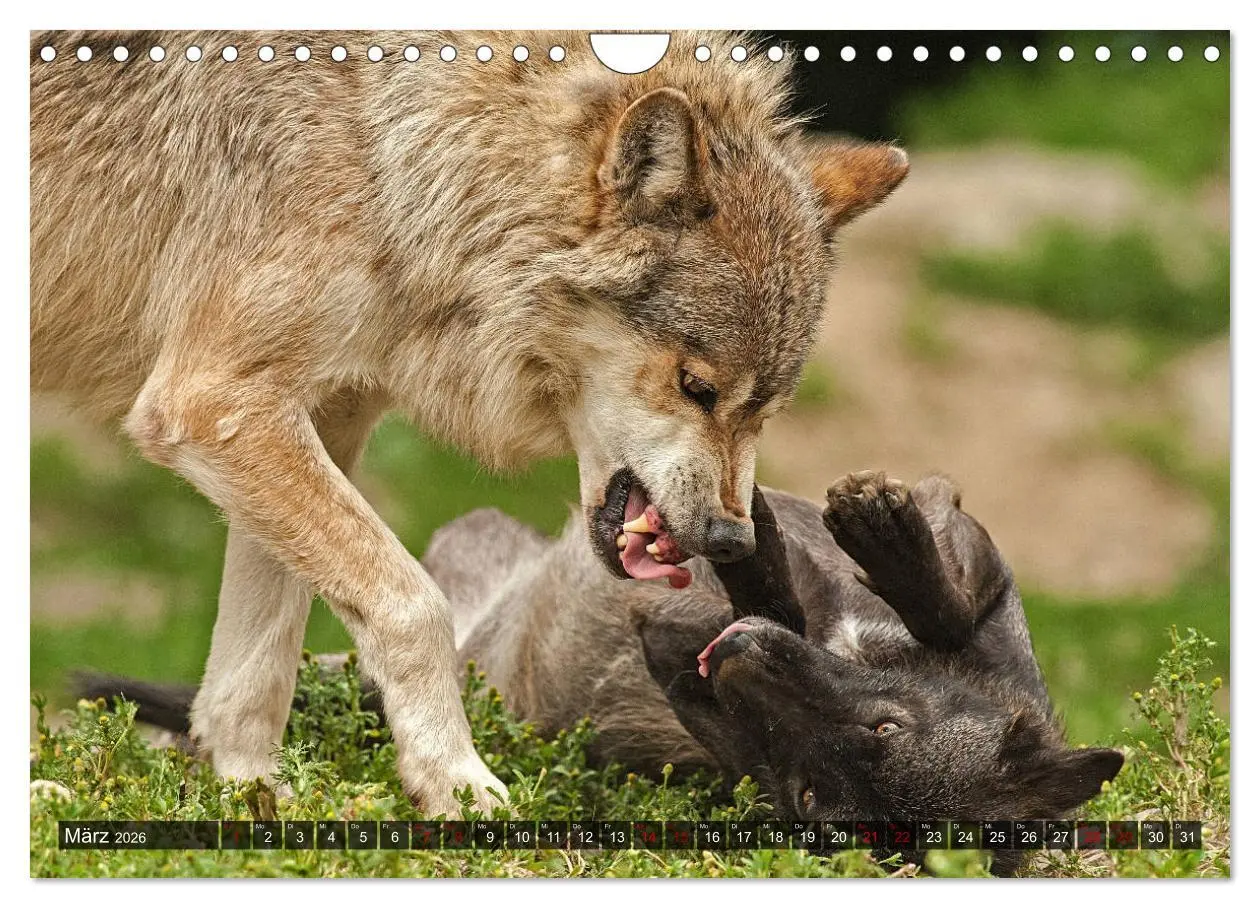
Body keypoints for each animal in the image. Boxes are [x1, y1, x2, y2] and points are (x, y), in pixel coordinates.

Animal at [31, 29, 909, 812]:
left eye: (767, 411)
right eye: (696, 388)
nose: (731, 540)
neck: (392, 157)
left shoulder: (315, 418)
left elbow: (261, 659)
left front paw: (251, 795)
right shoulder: (213, 402)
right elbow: (414, 606)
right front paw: (454, 781)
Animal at [86, 471, 1122, 874]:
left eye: (812, 799)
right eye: (885, 728)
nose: (727, 655)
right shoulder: (963, 568)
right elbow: (935, 593)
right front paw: (868, 538)